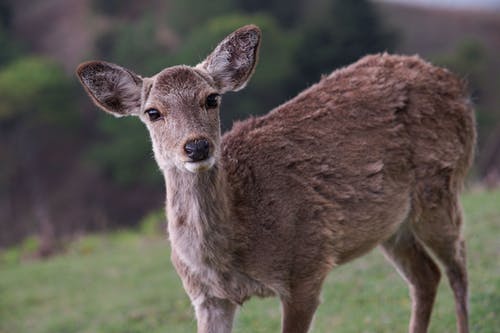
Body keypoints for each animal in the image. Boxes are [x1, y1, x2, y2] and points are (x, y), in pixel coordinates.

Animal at [75, 24, 476, 330]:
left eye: (212, 98)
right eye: (153, 112)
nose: (197, 146)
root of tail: (454, 82)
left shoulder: (307, 267)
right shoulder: (205, 297)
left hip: (441, 183)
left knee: (457, 263)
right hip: (389, 225)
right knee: (426, 276)